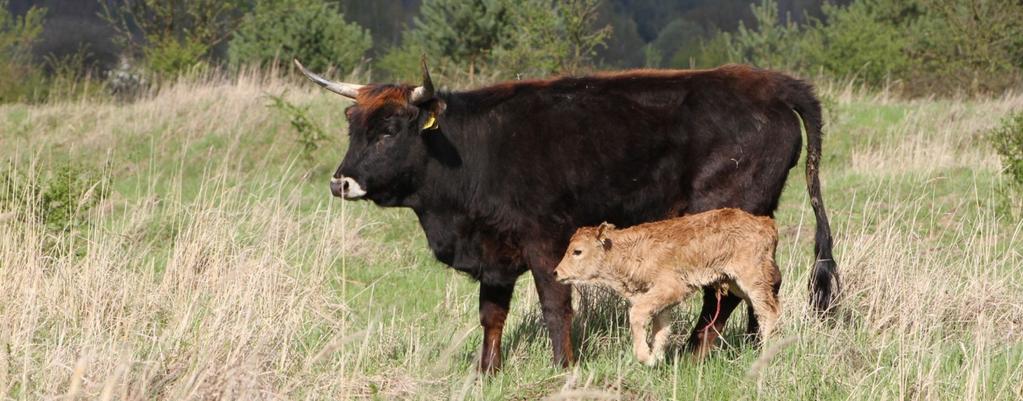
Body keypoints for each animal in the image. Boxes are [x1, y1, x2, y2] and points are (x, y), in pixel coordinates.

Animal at [556, 209, 777, 366]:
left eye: (577, 251)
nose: (556, 272)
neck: (626, 251)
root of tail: (766, 223)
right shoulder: (660, 300)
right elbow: (661, 329)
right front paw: (656, 359)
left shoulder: (671, 289)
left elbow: (637, 314)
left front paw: (645, 356)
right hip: (735, 284)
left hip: (752, 280)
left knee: (769, 311)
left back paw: (764, 353)